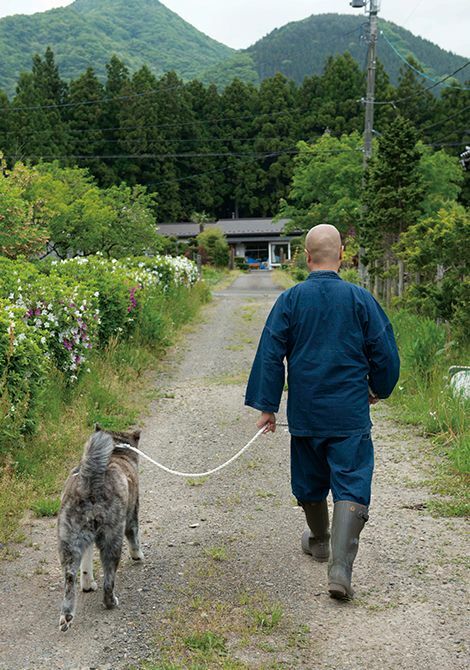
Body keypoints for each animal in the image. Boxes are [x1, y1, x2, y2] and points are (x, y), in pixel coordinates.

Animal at [56, 428, 142, 632]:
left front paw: (87, 585)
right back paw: (111, 602)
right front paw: (138, 555)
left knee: (69, 578)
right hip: (112, 540)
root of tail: (89, 483)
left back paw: (67, 615)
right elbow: (134, 536)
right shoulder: (132, 513)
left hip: (69, 543)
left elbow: (86, 566)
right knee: (109, 580)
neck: (117, 452)